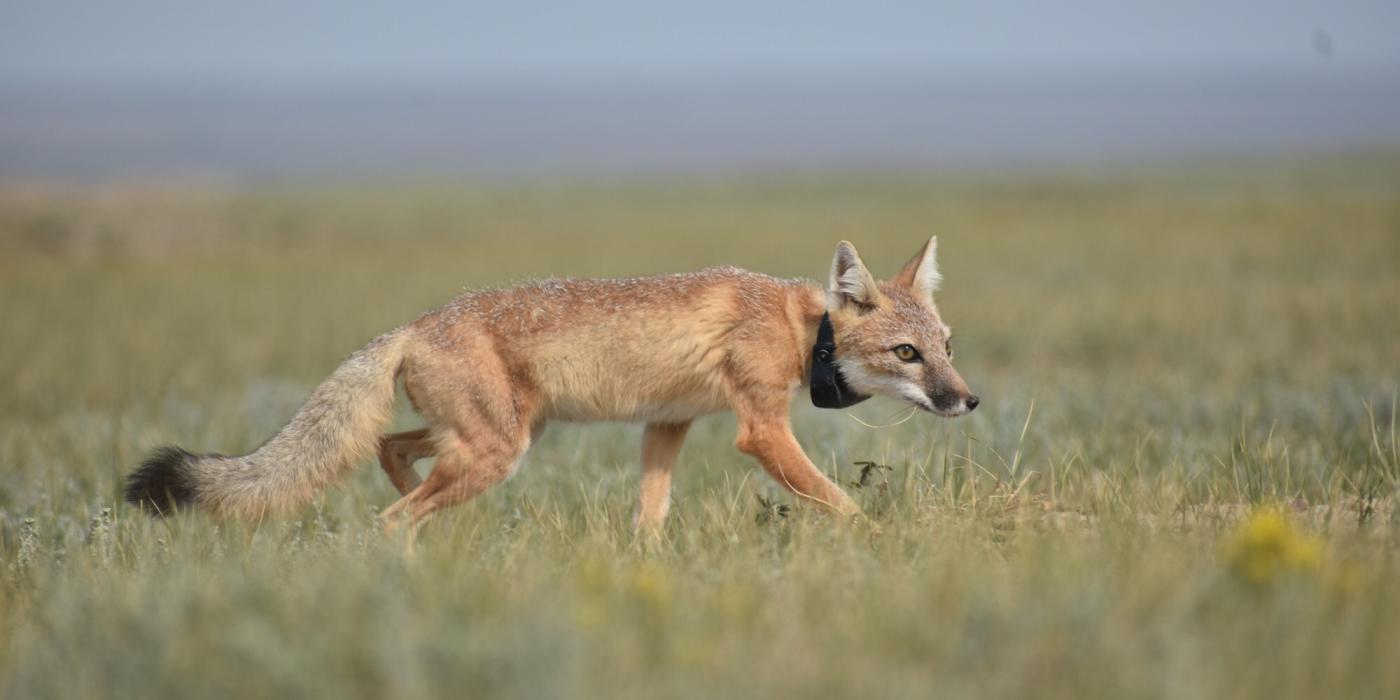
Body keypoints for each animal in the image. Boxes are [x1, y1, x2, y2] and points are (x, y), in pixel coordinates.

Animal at [126, 236, 980, 534]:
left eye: (946, 347)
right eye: (907, 354)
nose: (967, 399)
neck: (803, 328)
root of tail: (414, 323)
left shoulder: (666, 426)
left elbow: (649, 517)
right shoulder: (761, 431)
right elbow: (840, 503)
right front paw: (890, 546)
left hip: (491, 440)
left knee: (391, 454)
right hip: (497, 451)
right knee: (389, 515)